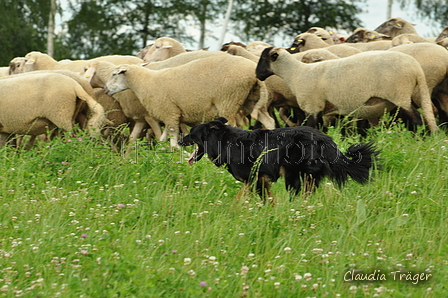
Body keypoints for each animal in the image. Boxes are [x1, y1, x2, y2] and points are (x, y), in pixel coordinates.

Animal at [104, 54, 272, 148]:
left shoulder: (169, 112)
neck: (146, 82)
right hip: (251, 99)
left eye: (114, 74)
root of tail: (253, 73)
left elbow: (172, 141)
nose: (105, 89)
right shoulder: (171, 116)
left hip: (228, 100)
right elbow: (163, 139)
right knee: (268, 121)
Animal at [177, 117, 380, 201]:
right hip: (307, 176)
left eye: (191, 133)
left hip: (293, 173)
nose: (179, 141)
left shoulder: (254, 178)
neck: (225, 141)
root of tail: (326, 140)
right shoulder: (259, 180)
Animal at [256, 46, 438, 133]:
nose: (257, 74)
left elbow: (311, 128)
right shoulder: (323, 110)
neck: (296, 73)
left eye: (264, 58)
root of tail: (416, 68)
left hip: (400, 95)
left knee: (417, 120)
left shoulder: (313, 107)